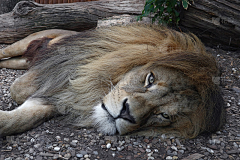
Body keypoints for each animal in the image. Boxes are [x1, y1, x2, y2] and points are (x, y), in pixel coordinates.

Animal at [0, 24, 225, 138]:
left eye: (164, 115)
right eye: (150, 79)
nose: (126, 114)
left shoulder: (61, 100)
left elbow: (20, 119)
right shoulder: (56, 76)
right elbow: (17, 89)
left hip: (19, 62)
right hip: (23, 44)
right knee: (5, 52)